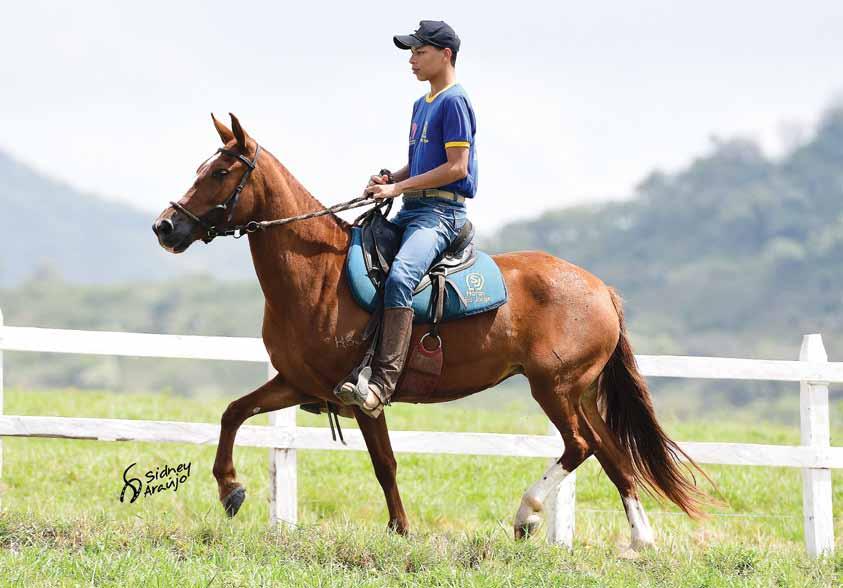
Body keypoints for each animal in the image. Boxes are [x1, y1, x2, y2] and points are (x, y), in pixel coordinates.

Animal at [153, 115, 712, 552]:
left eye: (220, 172)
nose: (165, 227)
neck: (320, 276)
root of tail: (602, 291)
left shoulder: (362, 396)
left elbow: (384, 463)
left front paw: (400, 530)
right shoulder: (299, 383)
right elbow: (233, 412)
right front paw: (230, 489)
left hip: (554, 388)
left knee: (581, 446)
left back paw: (527, 515)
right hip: (580, 392)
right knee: (612, 453)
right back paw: (640, 540)